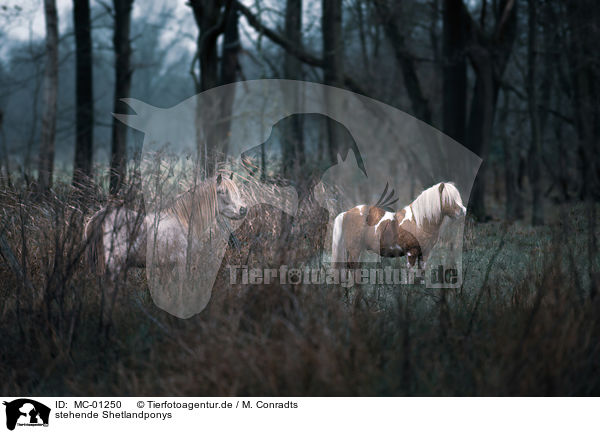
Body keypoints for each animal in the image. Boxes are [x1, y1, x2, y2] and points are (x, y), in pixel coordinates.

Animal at [332, 182, 468, 270]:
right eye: (448, 198)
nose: (463, 210)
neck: (419, 222)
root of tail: (346, 213)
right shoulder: (411, 253)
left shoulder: (424, 254)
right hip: (354, 250)